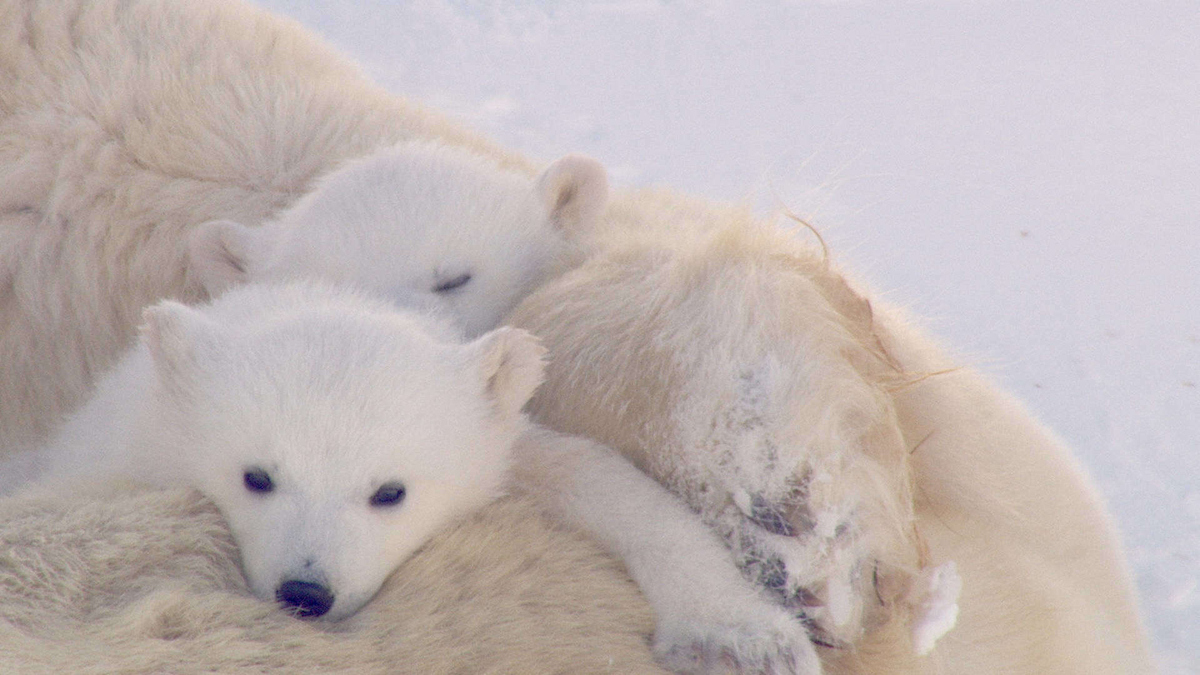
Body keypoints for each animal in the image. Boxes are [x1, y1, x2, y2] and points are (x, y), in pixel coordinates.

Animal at [4, 280, 823, 673]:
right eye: (256, 476)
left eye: (390, 491)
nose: (306, 593)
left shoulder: (503, 452)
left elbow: (594, 476)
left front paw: (742, 641)